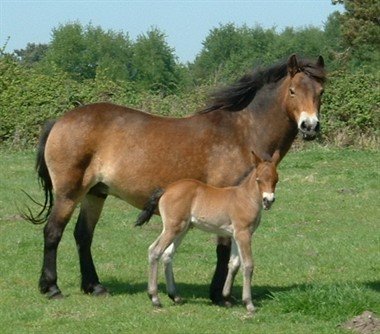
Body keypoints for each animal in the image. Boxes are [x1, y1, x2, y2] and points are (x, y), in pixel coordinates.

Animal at [25, 54, 326, 300]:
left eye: (321, 91)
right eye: (293, 90)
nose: (310, 126)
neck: (242, 131)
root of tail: (59, 121)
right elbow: (223, 249)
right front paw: (218, 295)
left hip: (95, 194)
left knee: (83, 235)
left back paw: (94, 286)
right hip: (69, 194)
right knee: (53, 232)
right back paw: (51, 287)